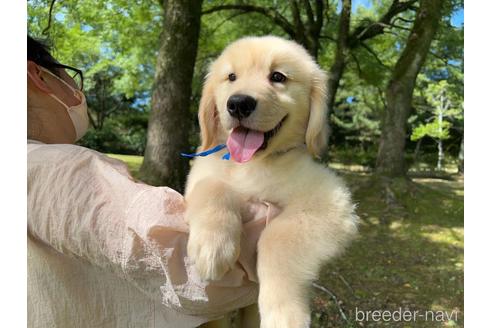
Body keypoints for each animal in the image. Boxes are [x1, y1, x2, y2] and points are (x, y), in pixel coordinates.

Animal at [184, 36, 358, 328]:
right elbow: (213, 187)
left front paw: (284, 313)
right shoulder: (199, 176)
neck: (253, 164)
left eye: (278, 77)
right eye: (231, 77)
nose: (238, 103)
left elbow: (276, 237)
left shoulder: (332, 203)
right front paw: (212, 246)